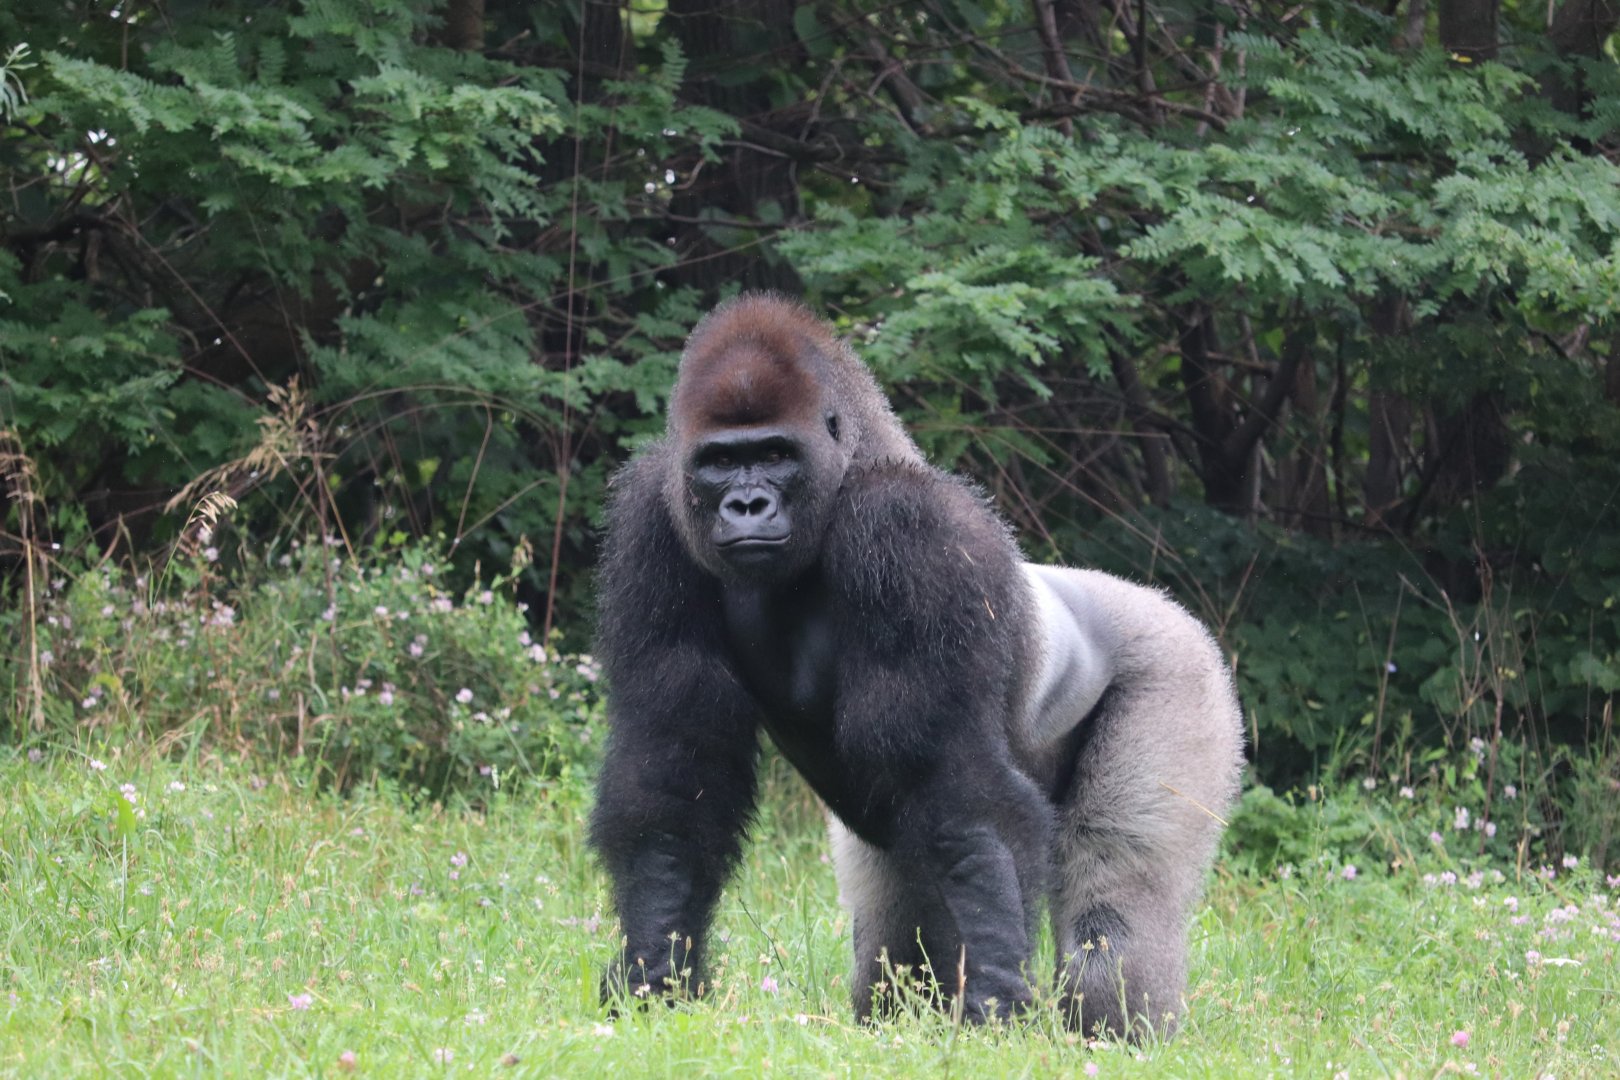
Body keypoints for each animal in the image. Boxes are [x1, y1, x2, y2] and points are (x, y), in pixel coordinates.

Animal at [589, 293, 1244, 1036]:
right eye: (720, 462)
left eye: (775, 454)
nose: (747, 504)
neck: (849, 470)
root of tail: (1163, 604)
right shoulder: (651, 519)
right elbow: (675, 768)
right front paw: (651, 970)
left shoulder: (912, 531)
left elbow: (956, 783)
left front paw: (995, 991)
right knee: (893, 928)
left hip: (1181, 672)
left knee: (1115, 910)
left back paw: (1116, 1029)